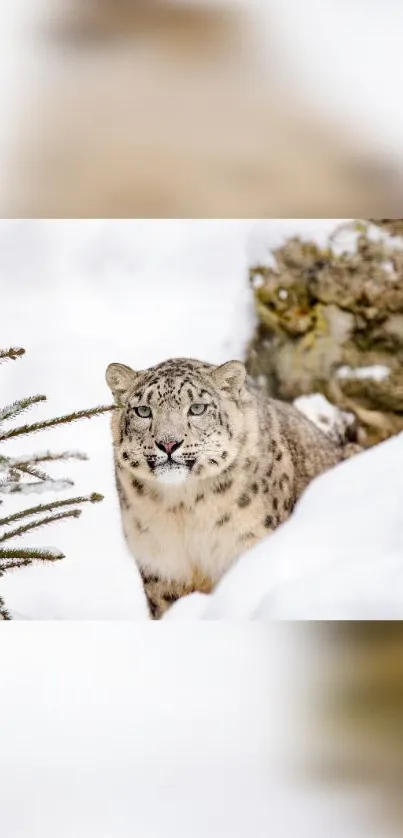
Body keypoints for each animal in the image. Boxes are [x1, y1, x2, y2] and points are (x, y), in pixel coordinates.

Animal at [106, 358, 344, 620]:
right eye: (143, 411)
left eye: (197, 408)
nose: (168, 443)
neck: (183, 509)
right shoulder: (162, 566)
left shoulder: (249, 543)